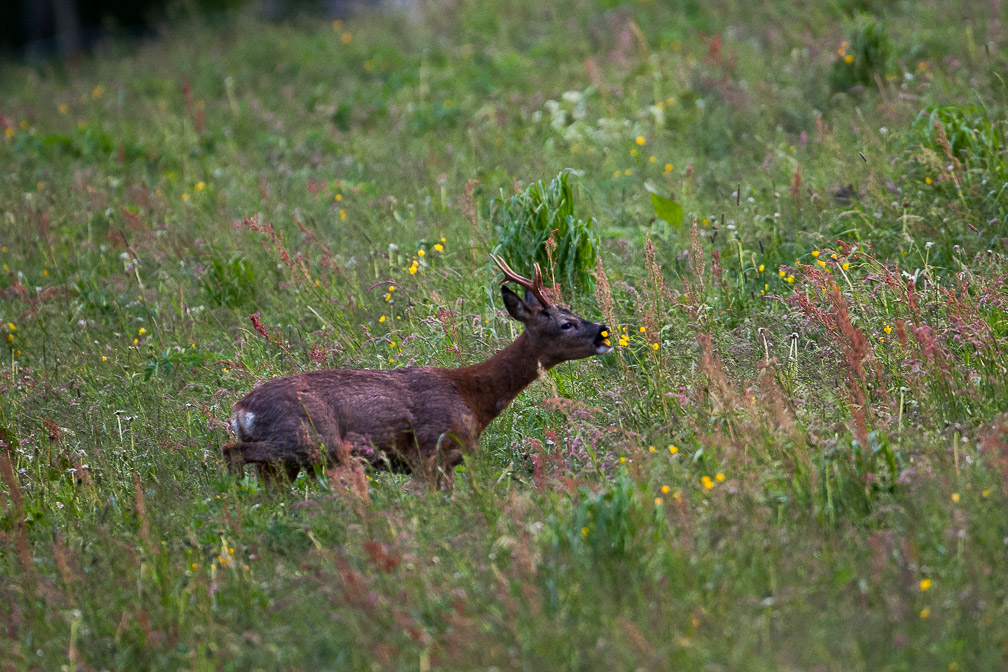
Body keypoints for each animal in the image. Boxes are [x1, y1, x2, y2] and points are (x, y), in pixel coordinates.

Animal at [223, 255, 608, 483]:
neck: (473, 397)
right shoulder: (430, 449)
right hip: (307, 438)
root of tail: (241, 410)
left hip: (289, 461)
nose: (603, 331)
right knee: (232, 452)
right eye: (566, 324)